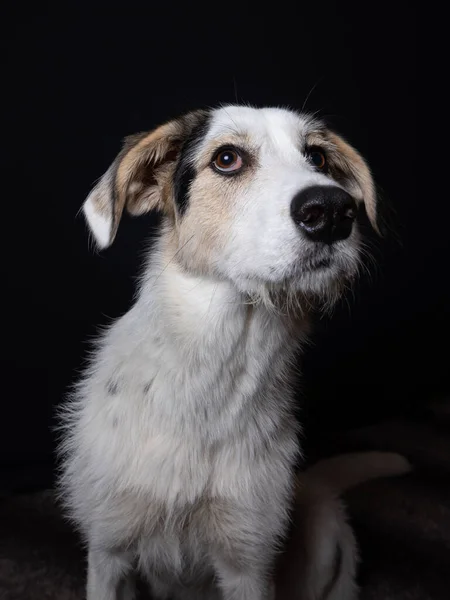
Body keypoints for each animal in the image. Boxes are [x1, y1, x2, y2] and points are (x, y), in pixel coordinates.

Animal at [59, 105, 412, 596]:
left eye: (318, 158)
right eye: (227, 159)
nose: (332, 210)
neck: (219, 368)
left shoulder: (248, 562)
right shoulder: (109, 551)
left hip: (325, 537)